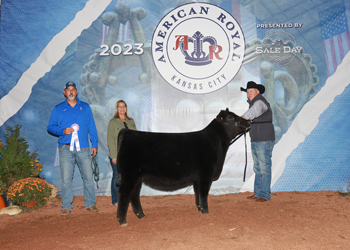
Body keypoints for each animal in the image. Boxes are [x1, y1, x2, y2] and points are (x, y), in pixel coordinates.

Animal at [116, 108, 250, 226]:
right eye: (231, 117)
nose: (248, 121)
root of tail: (127, 132)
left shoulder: (197, 178)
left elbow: (198, 195)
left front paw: (200, 209)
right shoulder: (206, 175)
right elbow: (203, 194)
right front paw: (206, 212)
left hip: (138, 177)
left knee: (134, 195)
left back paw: (141, 216)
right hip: (129, 175)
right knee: (124, 194)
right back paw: (122, 221)